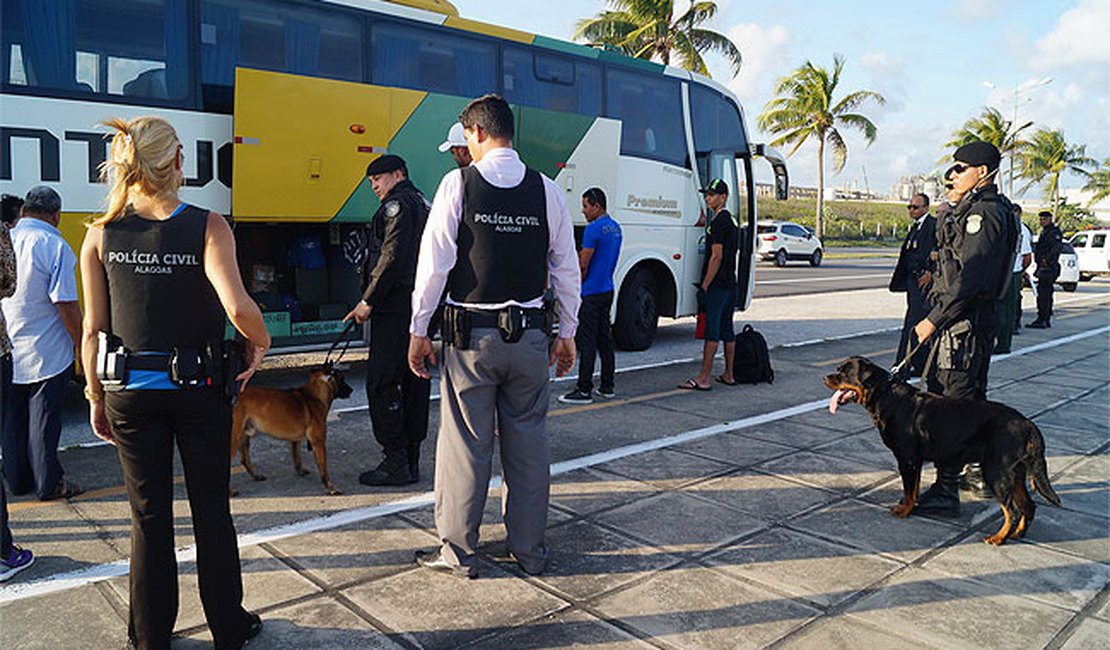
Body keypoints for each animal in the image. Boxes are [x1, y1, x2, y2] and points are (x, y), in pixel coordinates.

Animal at [231, 361, 352, 492]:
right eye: (342, 379)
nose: (351, 390)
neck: (315, 394)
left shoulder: (295, 440)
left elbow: (297, 457)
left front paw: (300, 471)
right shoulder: (318, 442)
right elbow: (323, 467)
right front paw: (330, 487)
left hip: (243, 436)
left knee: (244, 459)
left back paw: (256, 476)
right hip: (234, 439)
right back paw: (231, 491)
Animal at [825, 354, 1056, 541]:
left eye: (844, 373)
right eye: (838, 369)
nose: (826, 378)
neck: (885, 396)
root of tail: (1026, 423)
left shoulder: (907, 459)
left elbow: (908, 488)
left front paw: (904, 510)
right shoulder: (915, 461)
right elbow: (914, 489)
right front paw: (911, 506)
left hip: (997, 472)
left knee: (1013, 511)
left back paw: (999, 538)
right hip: (1015, 473)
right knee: (1028, 506)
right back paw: (1018, 534)